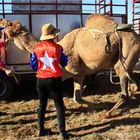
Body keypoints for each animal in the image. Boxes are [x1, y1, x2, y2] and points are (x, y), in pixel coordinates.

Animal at [0, 13, 139, 116]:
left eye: (10, 24)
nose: (2, 20)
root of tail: (136, 36)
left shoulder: (71, 71)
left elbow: (73, 97)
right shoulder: (79, 74)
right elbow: (77, 97)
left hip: (126, 53)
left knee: (124, 86)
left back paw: (108, 113)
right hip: (129, 60)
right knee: (133, 84)